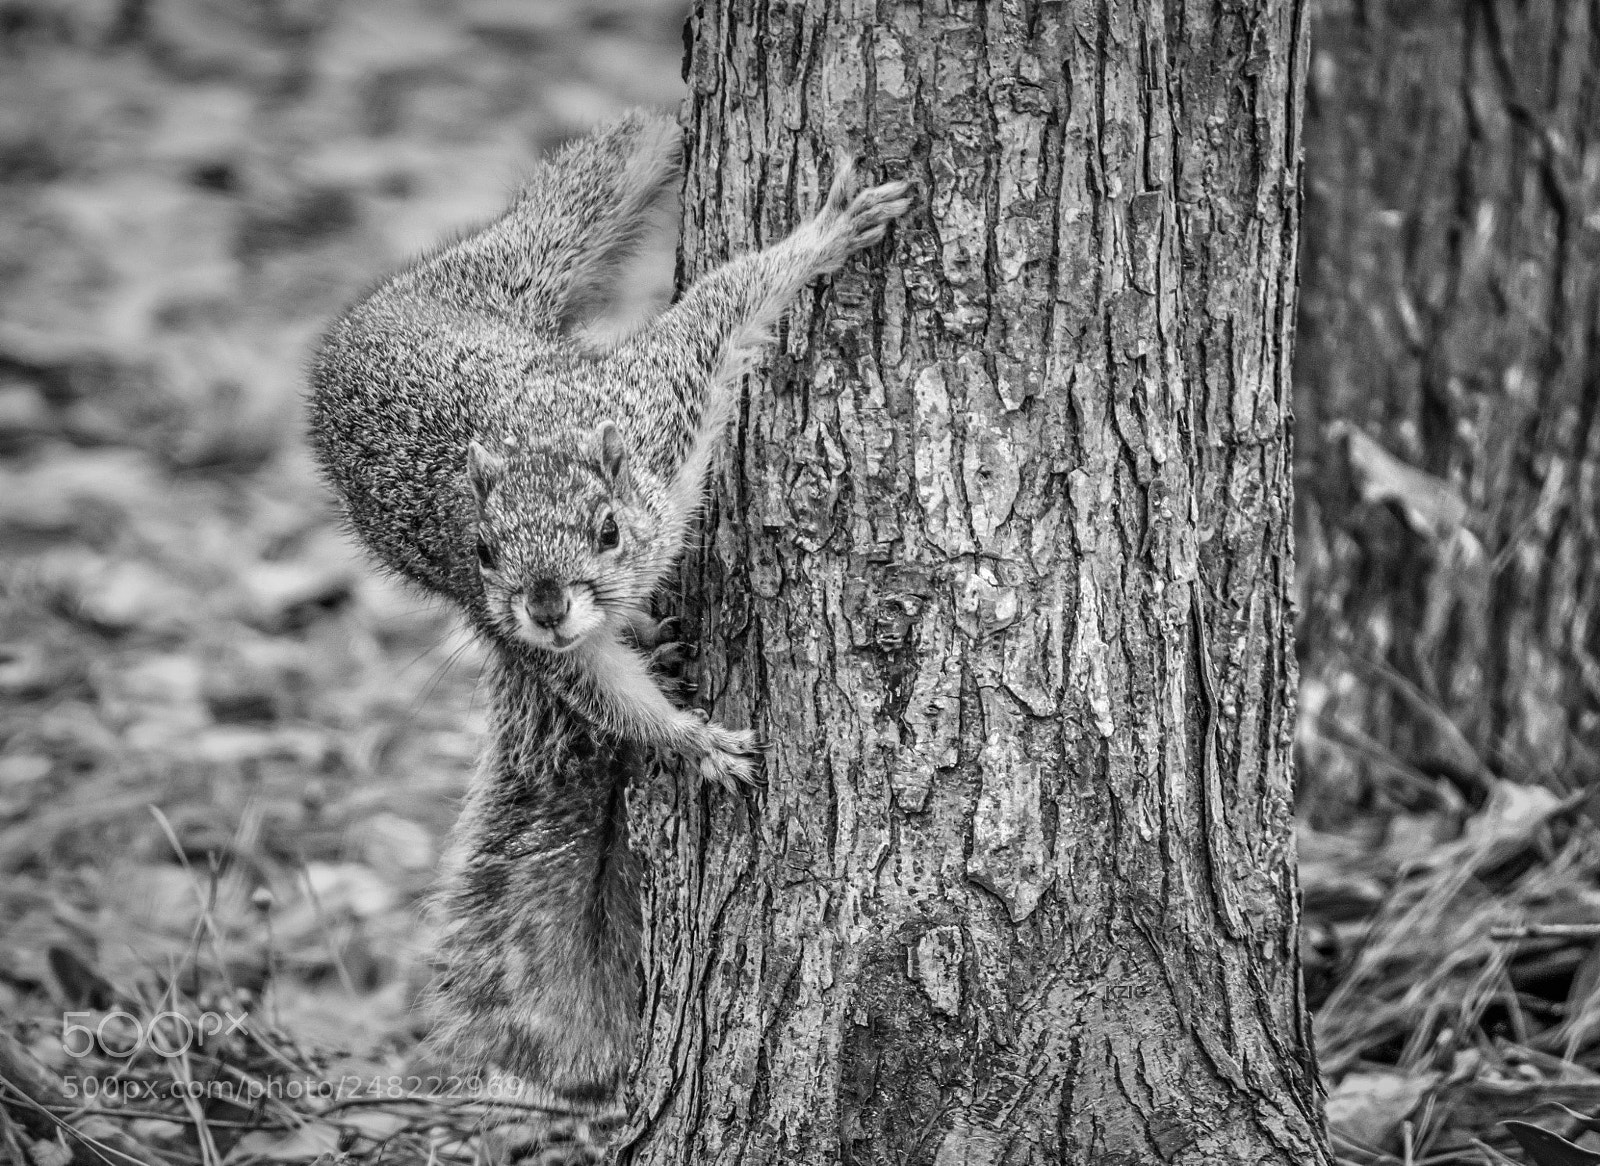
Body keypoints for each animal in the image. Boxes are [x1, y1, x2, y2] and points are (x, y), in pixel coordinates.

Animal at [305, 109, 912, 1151]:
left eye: (607, 530)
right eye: (480, 549)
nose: (547, 605)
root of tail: (378, 323)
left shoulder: (663, 401)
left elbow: (725, 302)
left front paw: (820, 236)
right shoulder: (542, 637)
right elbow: (601, 688)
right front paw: (695, 743)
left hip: (508, 268)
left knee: (591, 185)